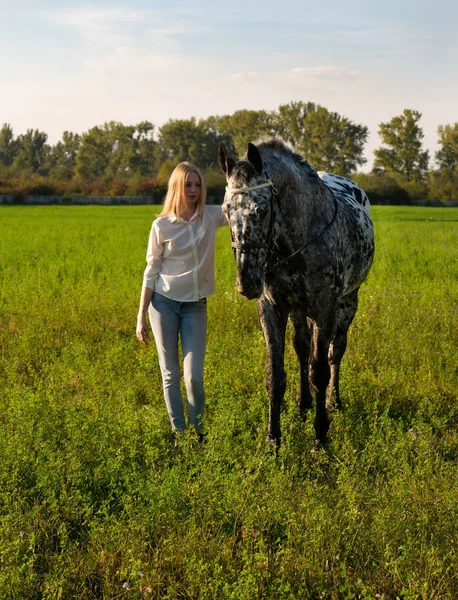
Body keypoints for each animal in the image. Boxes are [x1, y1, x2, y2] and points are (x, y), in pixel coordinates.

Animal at [219, 138, 376, 448]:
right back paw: (304, 402)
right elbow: (275, 375)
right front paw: (273, 439)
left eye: (261, 209)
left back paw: (333, 402)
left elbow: (321, 372)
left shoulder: (325, 309)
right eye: (225, 210)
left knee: (335, 353)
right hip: (298, 310)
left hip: (347, 303)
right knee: (302, 349)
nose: (247, 282)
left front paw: (321, 435)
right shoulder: (273, 308)